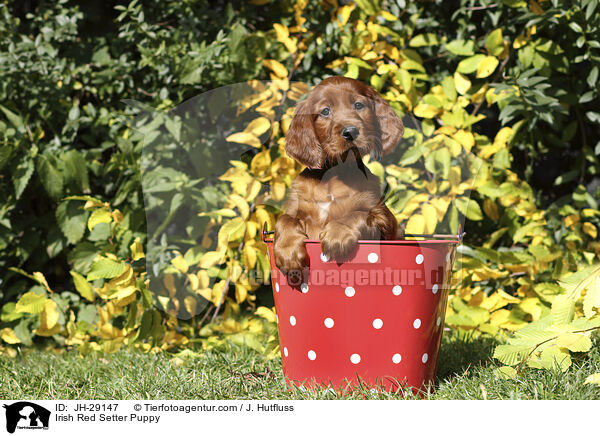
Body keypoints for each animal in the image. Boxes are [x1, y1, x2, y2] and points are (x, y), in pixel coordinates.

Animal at [274, 76, 406, 280]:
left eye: (359, 105)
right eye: (325, 111)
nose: (350, 131)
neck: (335, 174)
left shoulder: (385, 219)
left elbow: (359, 213)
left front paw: (338, 234)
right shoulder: (297, 208)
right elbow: (284, 219)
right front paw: (288, 252)